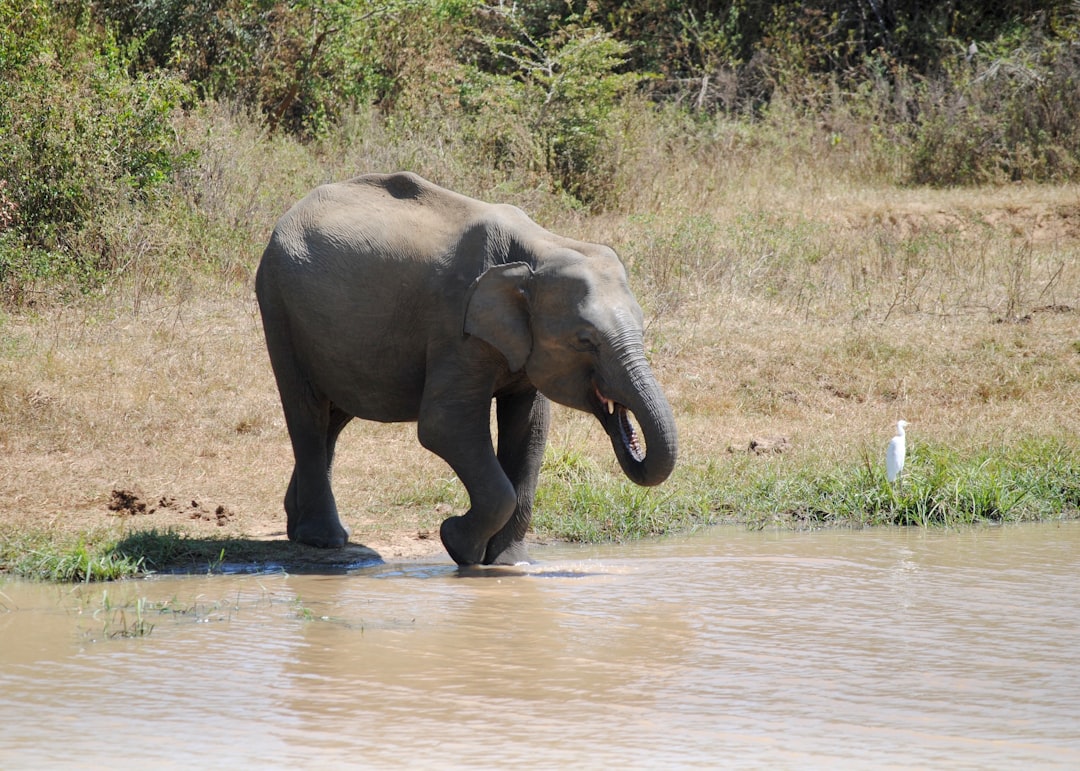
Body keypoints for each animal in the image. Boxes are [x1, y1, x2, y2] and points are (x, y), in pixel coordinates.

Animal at [254, 169, 673, 565]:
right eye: (586, 340)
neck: (540, 250)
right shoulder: (456, 326)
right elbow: (445, 426)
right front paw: (456, 541)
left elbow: (531, 430)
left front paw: (509, 563)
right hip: (278, 303)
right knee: (307, 412)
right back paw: (323, 539)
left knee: (335, 416)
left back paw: (300, 526)